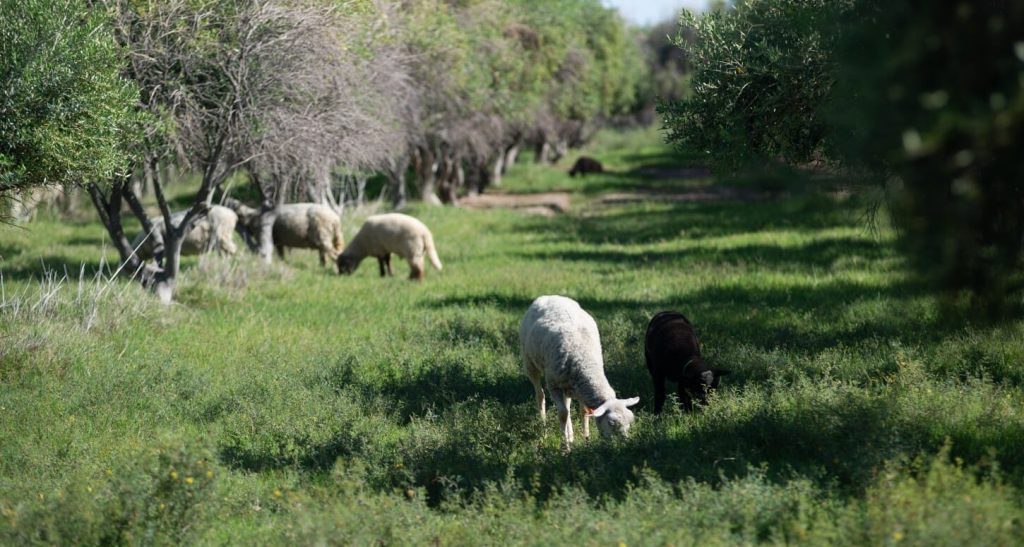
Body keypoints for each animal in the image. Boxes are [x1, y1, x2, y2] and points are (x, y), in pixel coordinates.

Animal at [520, 295, 640, 449]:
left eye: (630, 421)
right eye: (611, 423)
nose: (624, 445)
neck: (585, 362)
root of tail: (550, 296)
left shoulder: (580, 388)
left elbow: (583, 412)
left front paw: (586, 440)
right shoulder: (554, 385)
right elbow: (562, 414)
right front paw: (565, 447)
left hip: (567, 385)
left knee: (567, 404)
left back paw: (570, 435)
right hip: (530, 363)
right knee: (540, 395)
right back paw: (544, 429)